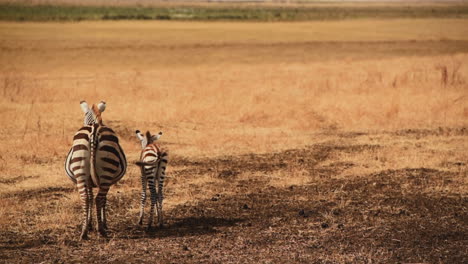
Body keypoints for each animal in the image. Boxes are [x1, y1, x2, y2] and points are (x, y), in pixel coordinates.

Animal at [64, 100, 126, 239]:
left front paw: (89, 224)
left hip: (80, 171)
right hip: (106, 173)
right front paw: (102, 223)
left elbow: (90, 197)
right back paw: (101, 230)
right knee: (99, 199)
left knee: (85, 198)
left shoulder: (88, 181)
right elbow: (103, 199)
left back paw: (84, 232)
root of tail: (94, 130)